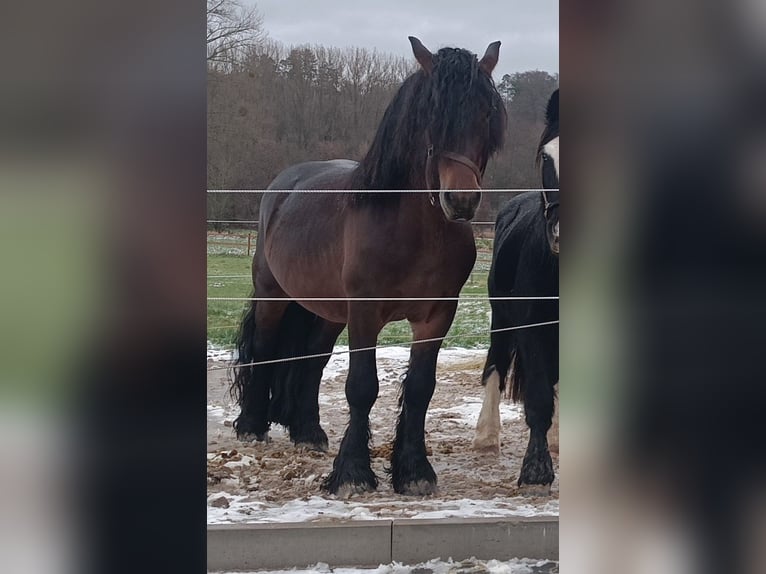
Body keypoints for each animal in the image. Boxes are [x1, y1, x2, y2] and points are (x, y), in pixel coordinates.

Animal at [232, 36, 510, 498]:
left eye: (486, 113)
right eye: (430, 115)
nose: (461, 201)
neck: (414, 230)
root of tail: (282, 186)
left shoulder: (437, 315)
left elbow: (420, 389)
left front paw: (414, 471)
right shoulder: (364, 311)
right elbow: (361, 387)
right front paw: (353, 474)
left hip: (326, 311)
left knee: (311, 360)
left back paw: (308, 432)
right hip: (274, 296)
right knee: (265, 350)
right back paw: (252, 425)